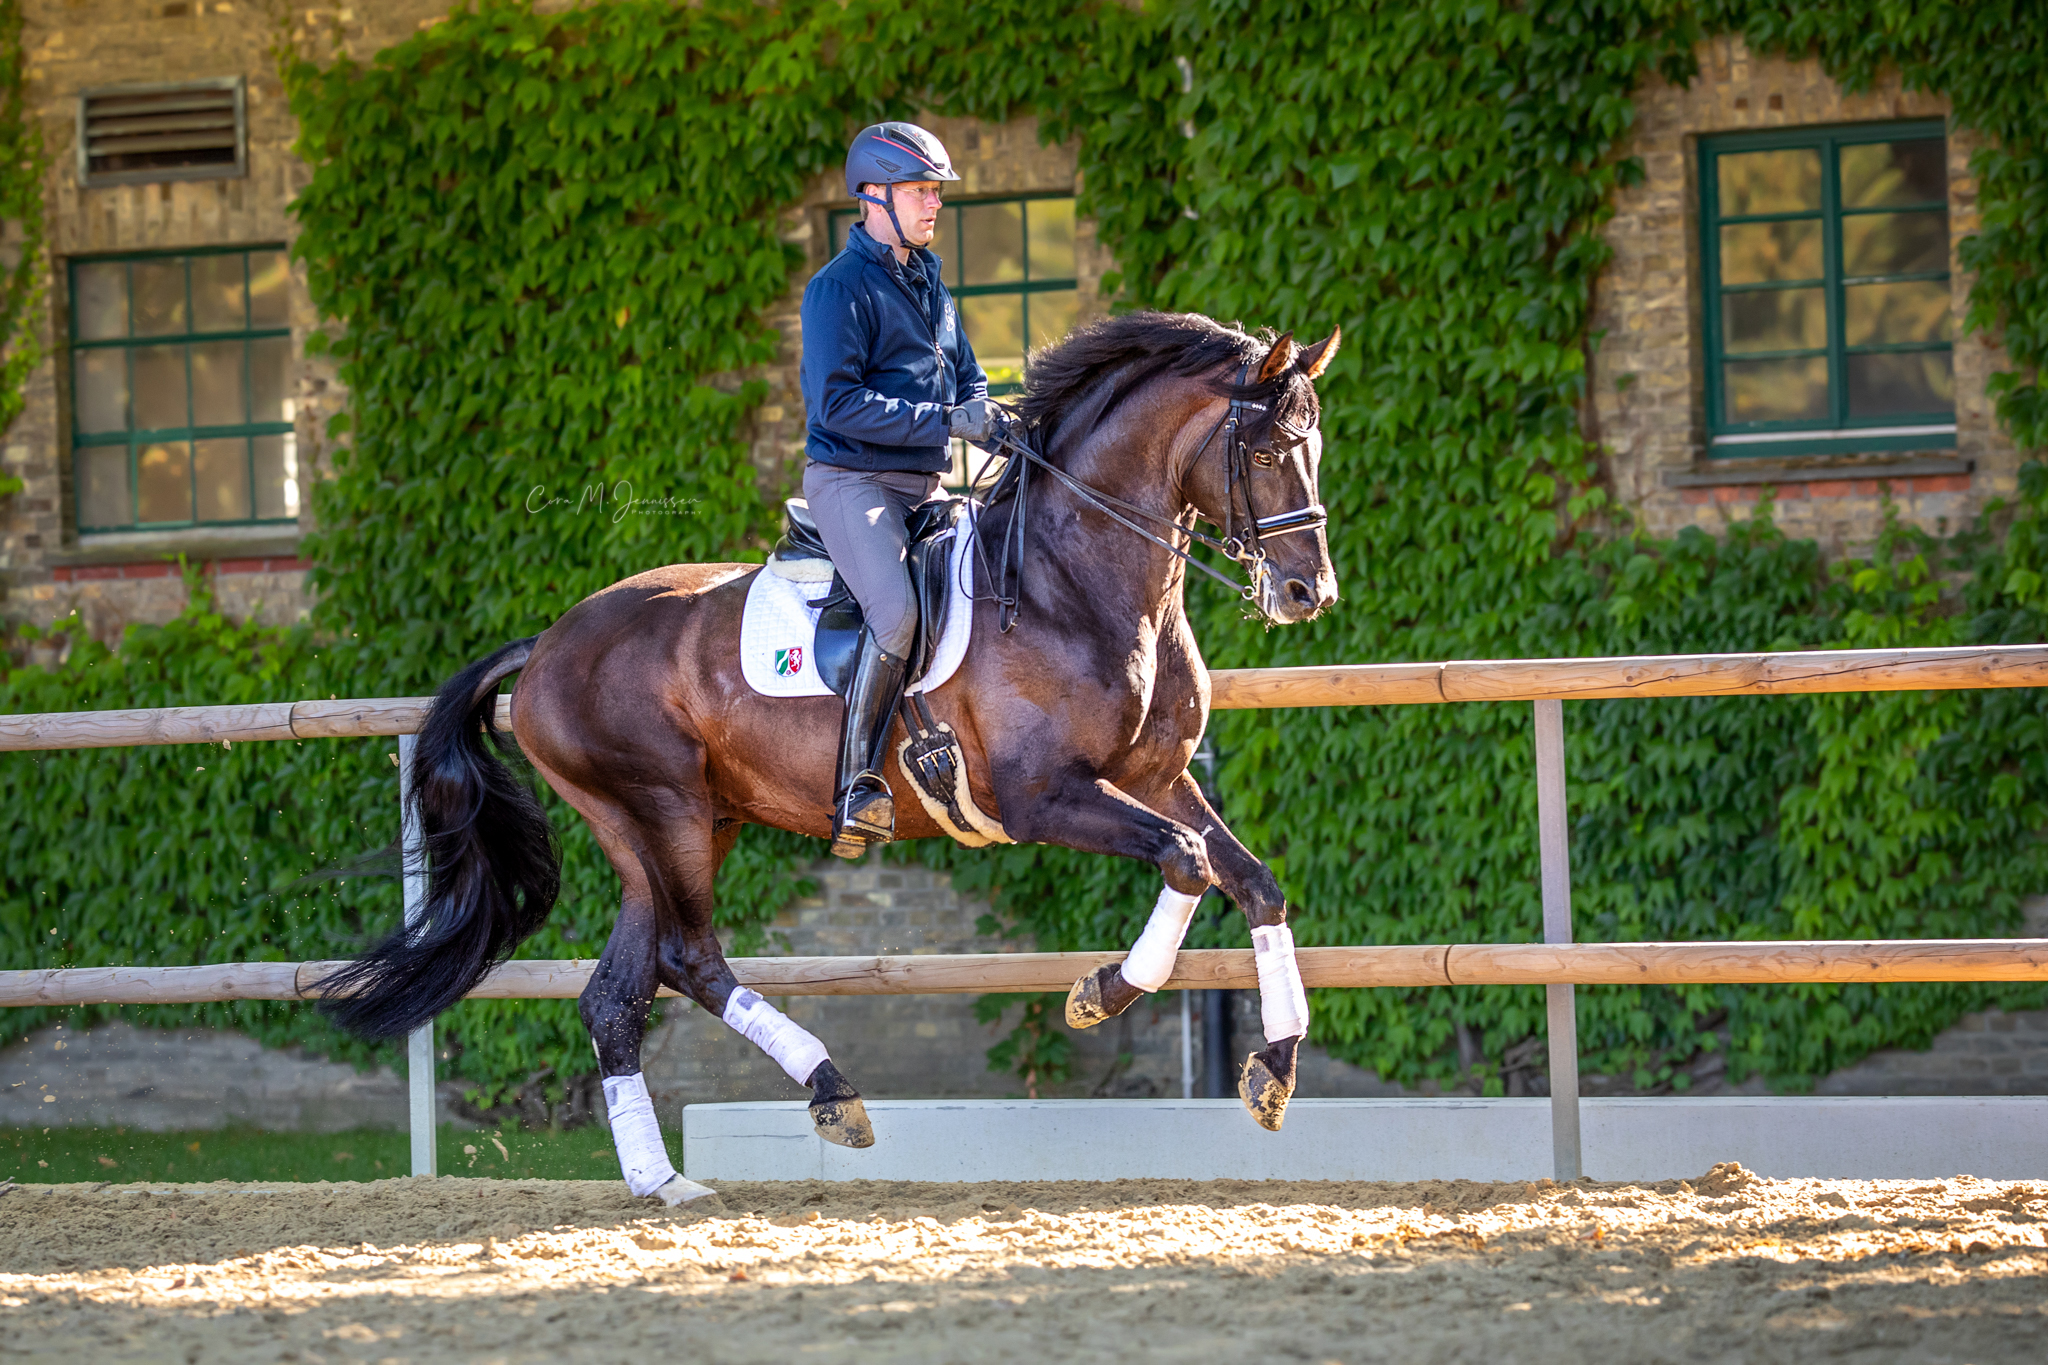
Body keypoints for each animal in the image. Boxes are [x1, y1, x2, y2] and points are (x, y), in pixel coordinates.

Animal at [315, 313, 1343, 1203]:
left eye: (1315, 448)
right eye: (1262, 452)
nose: (1309, 593)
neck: (1073, 583)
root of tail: (548, 643)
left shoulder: (1155, 777)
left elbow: (1253, 881)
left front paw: (1273, 1069)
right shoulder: (1044, 797)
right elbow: (1187, 859)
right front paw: (1101, 992)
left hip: (687, 822)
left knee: (617, 994)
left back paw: (664, 1182)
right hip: (658, 809)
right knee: (691, 957)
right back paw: (829, 1090)